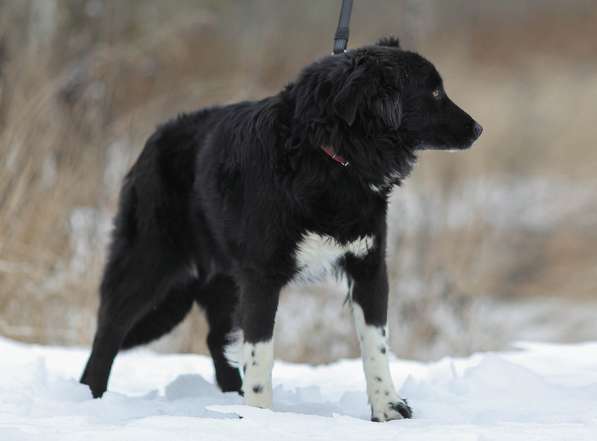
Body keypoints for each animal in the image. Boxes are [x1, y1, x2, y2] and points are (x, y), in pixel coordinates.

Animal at [80, 37, 480, 420]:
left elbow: (375, 345)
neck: (329, 156)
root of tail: (155, 138)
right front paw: (259, 418)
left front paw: (388, 409)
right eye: (434, 92)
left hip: (225, 279)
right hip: (149, 263)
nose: (478, 129)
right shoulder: (261, 277)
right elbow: (260, 355)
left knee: (214, 339)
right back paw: (92, 395)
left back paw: (230, 395)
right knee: (108, 330)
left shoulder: (368, 267)